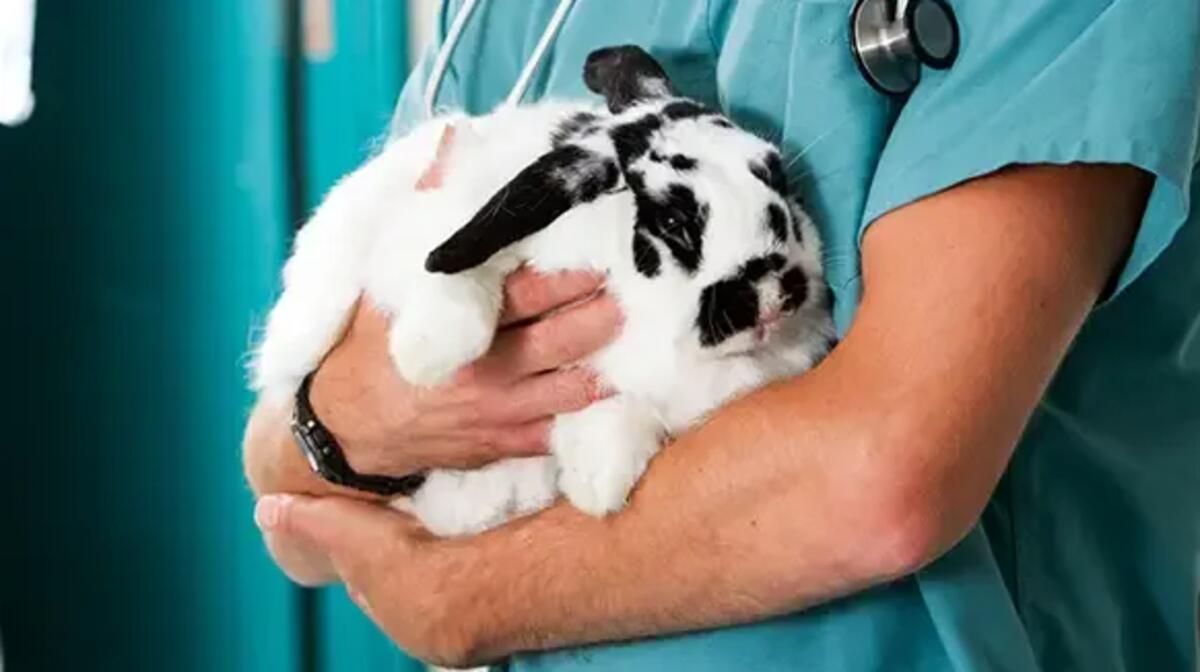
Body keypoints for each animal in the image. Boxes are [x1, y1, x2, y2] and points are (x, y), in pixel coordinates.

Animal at [252, 46, 835, 537]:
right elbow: (455, 275)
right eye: (674, 221)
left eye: (779, 179)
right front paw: (429, 358)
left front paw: (598, 483)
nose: (773, 293)